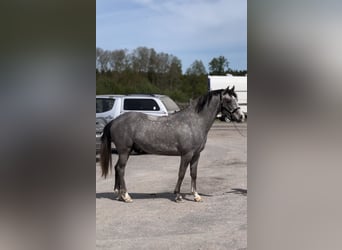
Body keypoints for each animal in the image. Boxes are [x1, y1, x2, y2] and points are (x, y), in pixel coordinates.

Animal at [100, 87, 244, 202]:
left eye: (235, 99)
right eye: (228, 100)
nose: (241, 116)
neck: (194, 121)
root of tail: (114, 121)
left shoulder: (196, 155)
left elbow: (193, 174)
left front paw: (196, 196)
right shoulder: (186, 154)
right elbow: (181, 173)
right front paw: (178, 195)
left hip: (125, 151)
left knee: (117, 168)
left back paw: (119, 194)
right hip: (125, 151)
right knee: (121, 169)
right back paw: (126, 196)